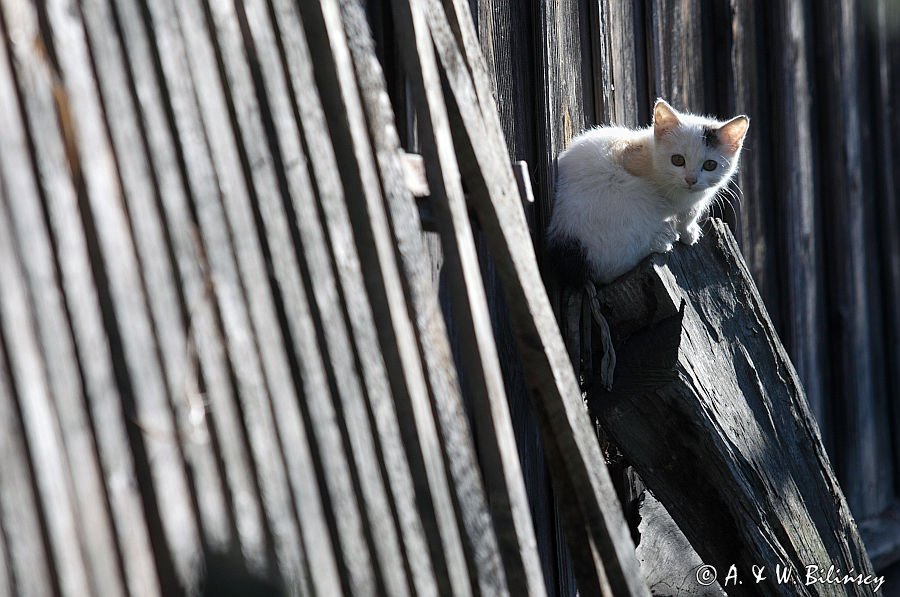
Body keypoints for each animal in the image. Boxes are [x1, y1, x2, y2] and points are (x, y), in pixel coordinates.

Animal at [544, 98, 748, 284]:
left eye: (710, 165)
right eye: (677, 160)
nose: (691, 180)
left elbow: (688, 212)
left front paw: (687, 228)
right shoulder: (627, 156)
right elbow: (686, 213)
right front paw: (687, 230)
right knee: (611, 267)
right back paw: (661, 238)